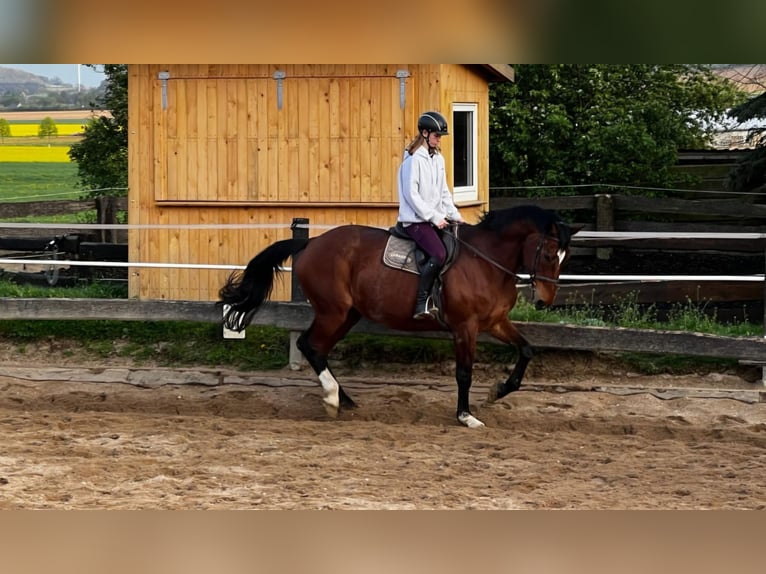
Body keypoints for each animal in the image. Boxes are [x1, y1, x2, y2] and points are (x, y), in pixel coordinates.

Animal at [219, 206, 580, 428]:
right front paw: (466, 416)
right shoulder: (465, 327)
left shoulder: (494, 323)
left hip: (347, 314)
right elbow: (464, 373)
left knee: (318, 349)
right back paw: (333, 398)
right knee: (310, 345)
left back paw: (343, 398)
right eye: (550, 254)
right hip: (333, 311)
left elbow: (527, 350)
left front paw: (498, 391)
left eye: (565, 257)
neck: (486, 261)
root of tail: (312, 243)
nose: (545, 300)